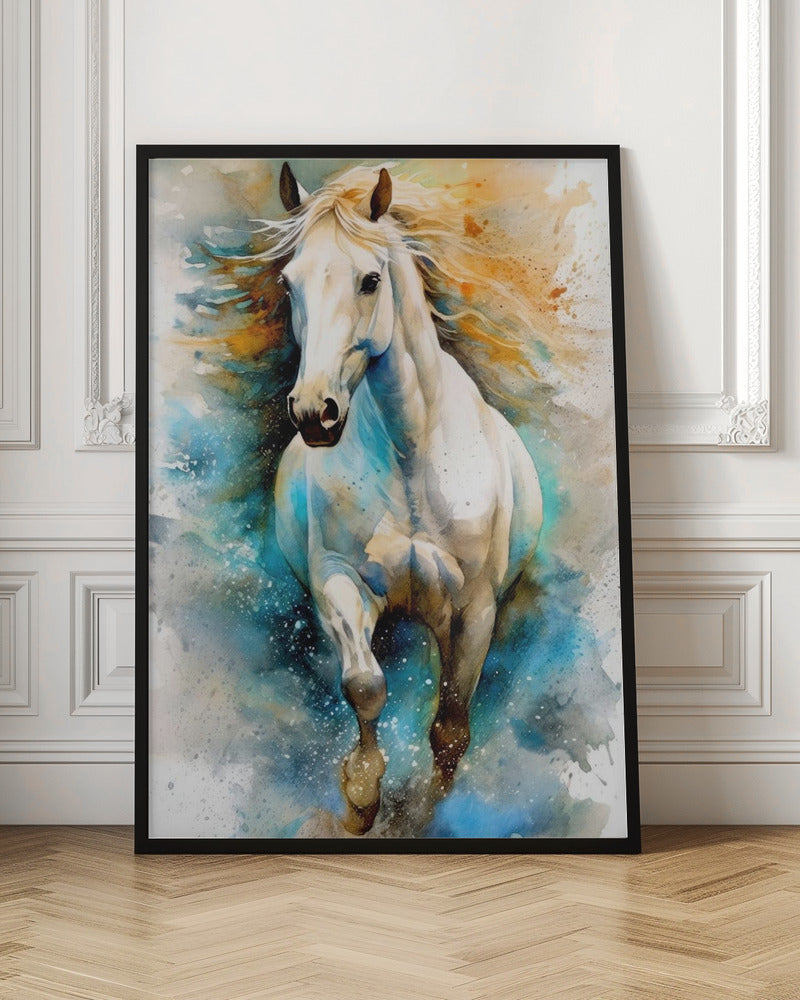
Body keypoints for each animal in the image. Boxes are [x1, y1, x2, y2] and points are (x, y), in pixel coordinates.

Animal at [271, 162, 543, 835]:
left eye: (370, 280)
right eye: (289, 282)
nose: (314, 413)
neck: (412, 456)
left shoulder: (475, 610)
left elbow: (450, 729)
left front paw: (422, 815)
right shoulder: (339, 581)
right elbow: (366, 686)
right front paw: (361, 798)